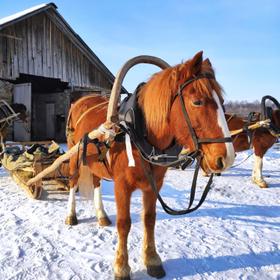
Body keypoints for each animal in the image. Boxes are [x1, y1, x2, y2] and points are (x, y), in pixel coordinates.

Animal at [65, 51, 234, 278]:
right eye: (197, 102)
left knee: (96, 181)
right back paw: (71, 215)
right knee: (73, 181)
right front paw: (121, 266)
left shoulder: (154, 185)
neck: (136, 133)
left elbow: (149, 219)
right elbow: (124, 223)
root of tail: (81, 100)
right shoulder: (122, 187)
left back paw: (101, 215)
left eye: (222, 101)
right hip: (74, 155)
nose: (227, 158)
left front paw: (152, 259)